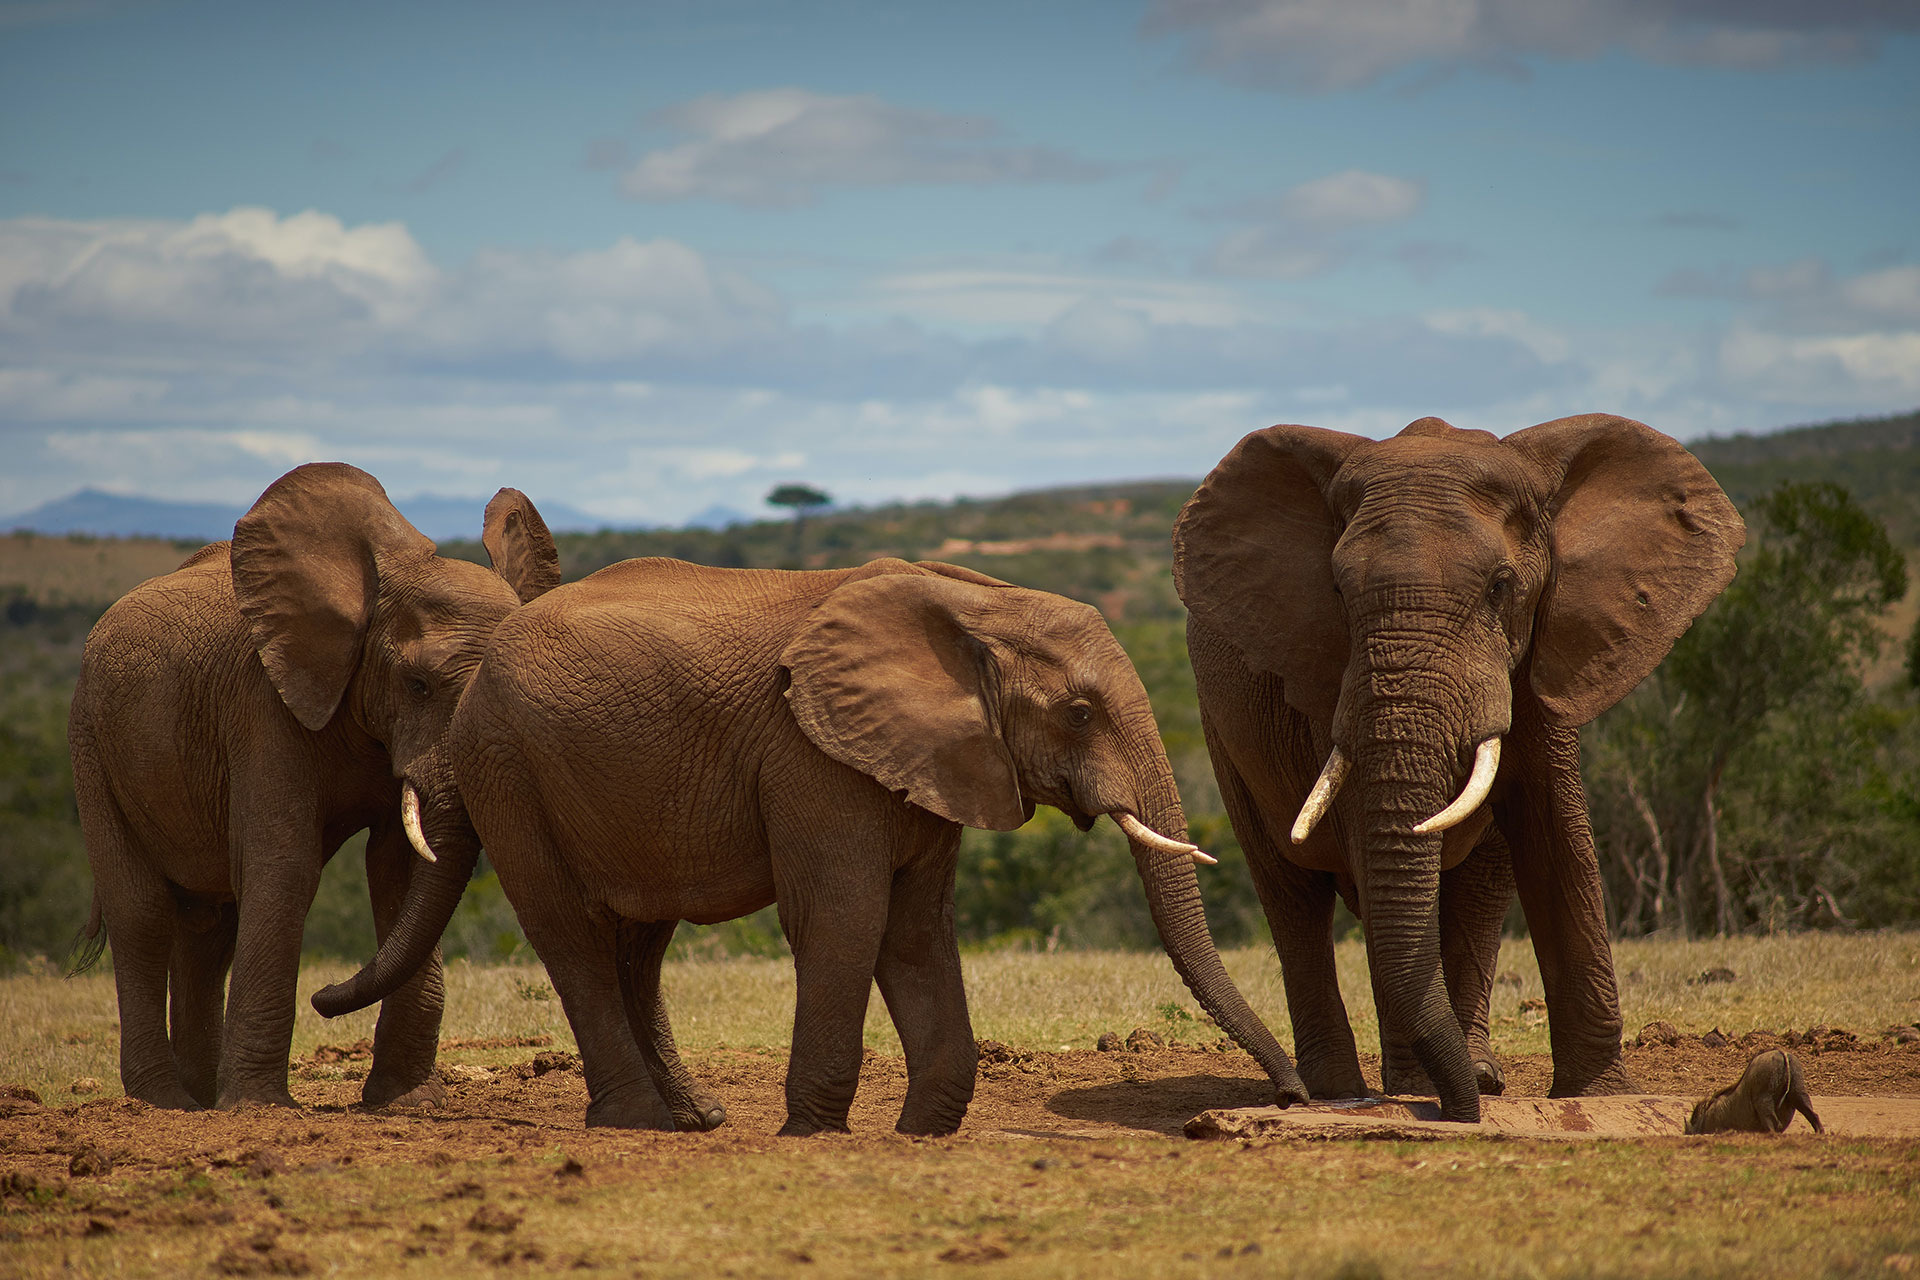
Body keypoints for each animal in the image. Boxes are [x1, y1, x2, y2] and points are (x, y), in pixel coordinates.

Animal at [67, 462, 560, 1113]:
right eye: (418, 685)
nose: (324, 996)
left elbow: (400, 868)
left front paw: (404, 1103)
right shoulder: (263, 707)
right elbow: (286, 867)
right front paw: (257, 1108)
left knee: (211, 926)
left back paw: (201, 1095)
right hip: (91, 744)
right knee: (142, 912)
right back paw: (167, 1102)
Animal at [314, 556, 1313, 1136]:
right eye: (1078, 712)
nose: (1291, 1096)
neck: (971, 604)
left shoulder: (929, 757)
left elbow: (916, 925)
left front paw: (924, 1132)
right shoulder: (809, 751)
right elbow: (845, 914)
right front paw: (815, 1133)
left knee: (639, 941)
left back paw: (697, 1120)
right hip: (509, 768)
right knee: (571, 936)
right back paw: (635, 1124)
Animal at [1175, 412, 1751, 1120]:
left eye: (1500, 586)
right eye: (1336, 590)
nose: (1458, 1110)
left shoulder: (1547, 656)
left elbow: (1557, 840)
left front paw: (1600, 1094)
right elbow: (1372, 849)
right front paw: (1424, 1094)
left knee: (1477, 891)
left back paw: (1478, 1078)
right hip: (1221, 731)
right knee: (1292, 894)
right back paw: (1349, 1089)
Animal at [1689, 1043, 1820, 1136]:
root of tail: (1781, 1052)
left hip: (1764, 1097)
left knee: (1772, 1120)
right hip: (1798, 1090)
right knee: (1812, 1114)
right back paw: (1820, 1134)